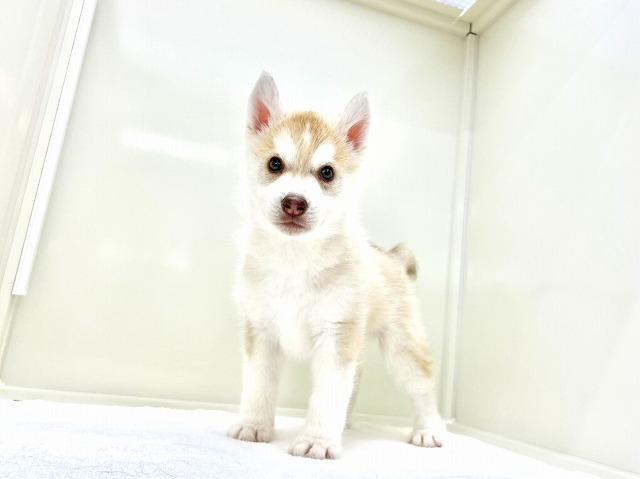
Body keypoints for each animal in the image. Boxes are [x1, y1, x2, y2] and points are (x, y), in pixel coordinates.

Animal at [228, 72, 446, 459]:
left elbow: (328, 396)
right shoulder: (261, 333)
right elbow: (259, 386)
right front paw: (254, 426)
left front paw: (317, 440)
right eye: (274, 164)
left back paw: (429, 429)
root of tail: (391, 256)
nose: (294, 202)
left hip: (403, 350)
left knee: (422, 389)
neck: (294, 258)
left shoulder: (335, 337)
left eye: (326, 173)